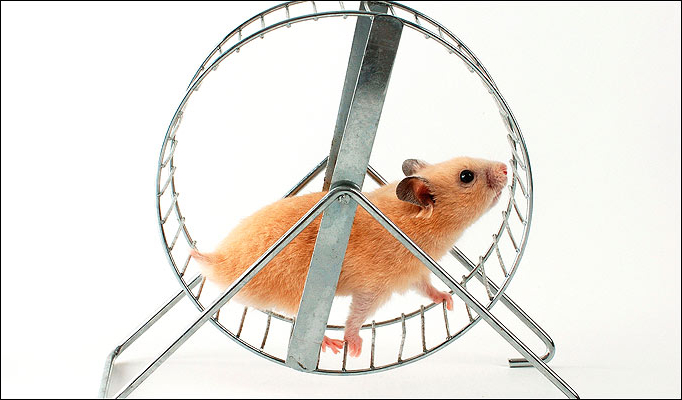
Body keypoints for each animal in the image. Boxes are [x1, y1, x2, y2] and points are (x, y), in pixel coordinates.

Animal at [192, 157, 508, 357]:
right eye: (466, 176)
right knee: (296, 318)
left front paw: (448, 301)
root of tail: (219, 262)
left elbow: (429, 288)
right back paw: (329, 343)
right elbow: (357, 315)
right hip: (294, 289)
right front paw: (353, 348)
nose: (506, 167)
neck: (414, 221)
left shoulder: (415, 273)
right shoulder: (374, 287)